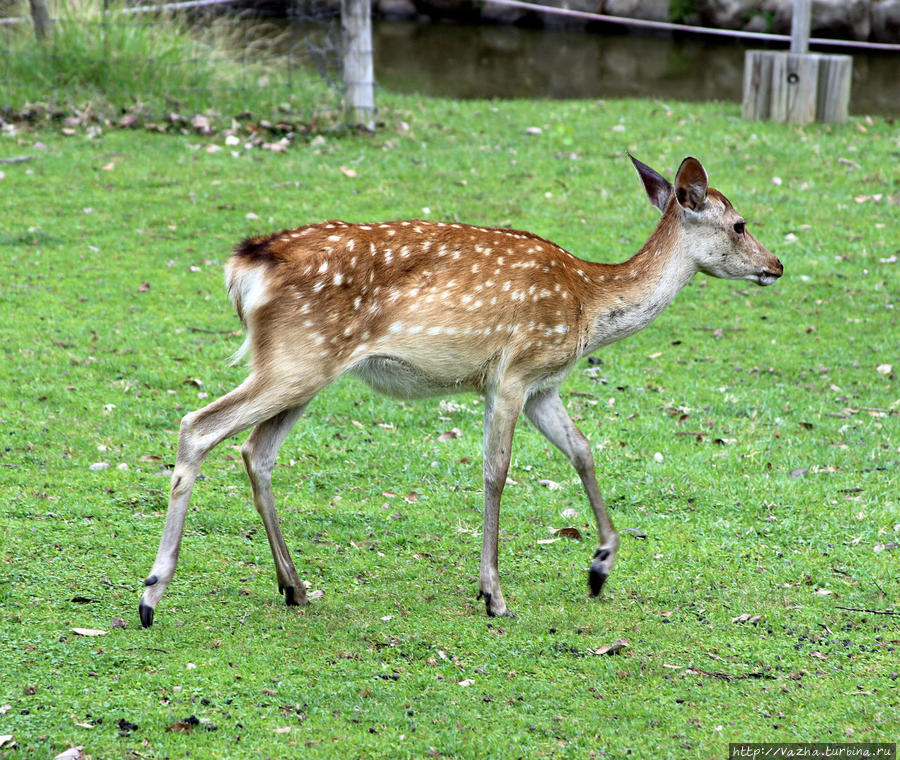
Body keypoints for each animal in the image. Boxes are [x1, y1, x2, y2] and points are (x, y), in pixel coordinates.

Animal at [137, 156, 784, 628]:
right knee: (199, 425)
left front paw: (600, 566)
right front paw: (493, 594)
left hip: (305, 367)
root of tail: (245, 266)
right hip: (298, 357)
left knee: (256, 451)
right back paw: (151, 594)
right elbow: (497, 472)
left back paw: (294, 587)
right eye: (740, 224)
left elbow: (582, 450)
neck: (588, 306)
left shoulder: (544, 385)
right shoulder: (514, 372)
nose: (775, 265)